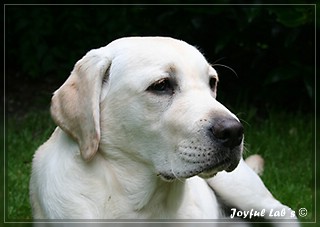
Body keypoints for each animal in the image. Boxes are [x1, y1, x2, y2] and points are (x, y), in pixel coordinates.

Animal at [28, 36, 298, 225]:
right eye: (161, 85)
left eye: (212, 82)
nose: (234, 132)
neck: (138, 204)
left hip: (241, 188)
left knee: (285, 212)